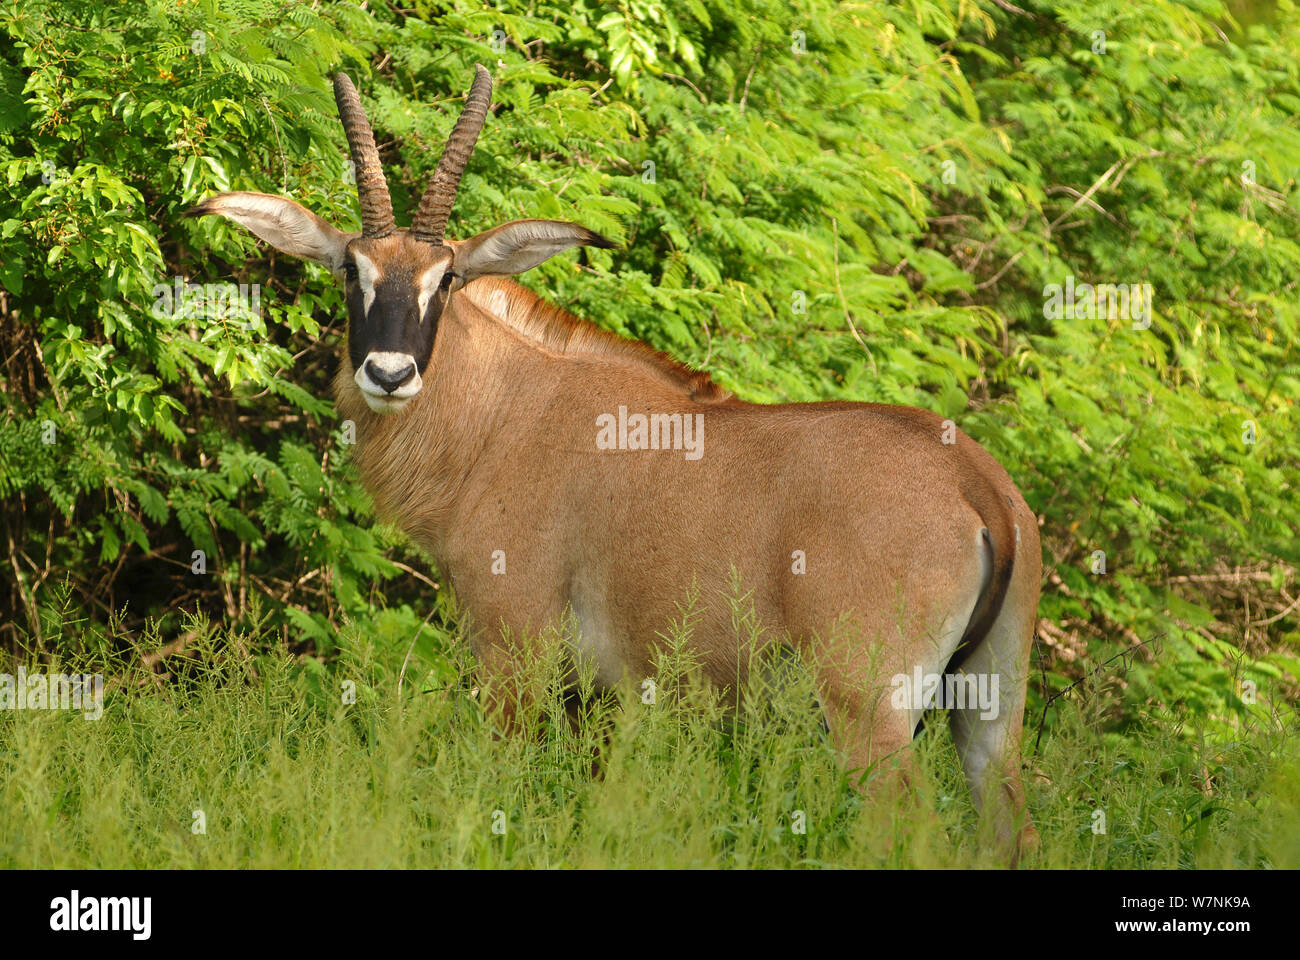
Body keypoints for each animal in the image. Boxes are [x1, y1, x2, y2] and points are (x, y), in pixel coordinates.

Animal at [188, 65, 1045, 858]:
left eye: (448, 276)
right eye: (350, 269)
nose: (390, 374)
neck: (508, 409)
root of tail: (979, 486)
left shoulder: (513, 648)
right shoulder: (604, 696)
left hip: (870, 710)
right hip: (989, 706)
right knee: (1012, 828)